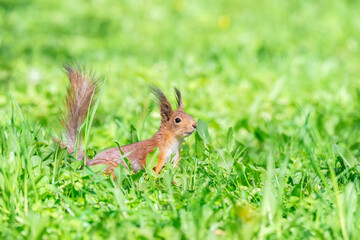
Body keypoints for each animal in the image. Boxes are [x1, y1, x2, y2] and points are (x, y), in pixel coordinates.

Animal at [60, 64, 198, 175]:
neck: (174, 141)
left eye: (190, 115)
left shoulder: (175, 159)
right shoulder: (157, 155)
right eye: (177, 120)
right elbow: (154, 171)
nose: (195, 125)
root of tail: (89, 163)